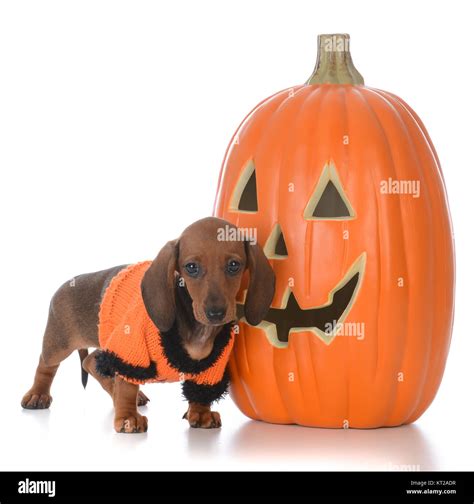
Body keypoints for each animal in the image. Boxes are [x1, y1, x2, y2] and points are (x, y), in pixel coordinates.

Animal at [21, 215, 274, 432]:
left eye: (234, 265)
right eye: (191, 267)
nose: (215, 313)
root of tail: (67, 283)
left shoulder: (212, 364)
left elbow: (200, 392)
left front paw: (201, 414)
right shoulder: (130, 351)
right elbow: (126, 387)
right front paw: (128, 418)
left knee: (91, 361)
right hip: (59, 344)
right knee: (47, 364)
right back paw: (37, 395)